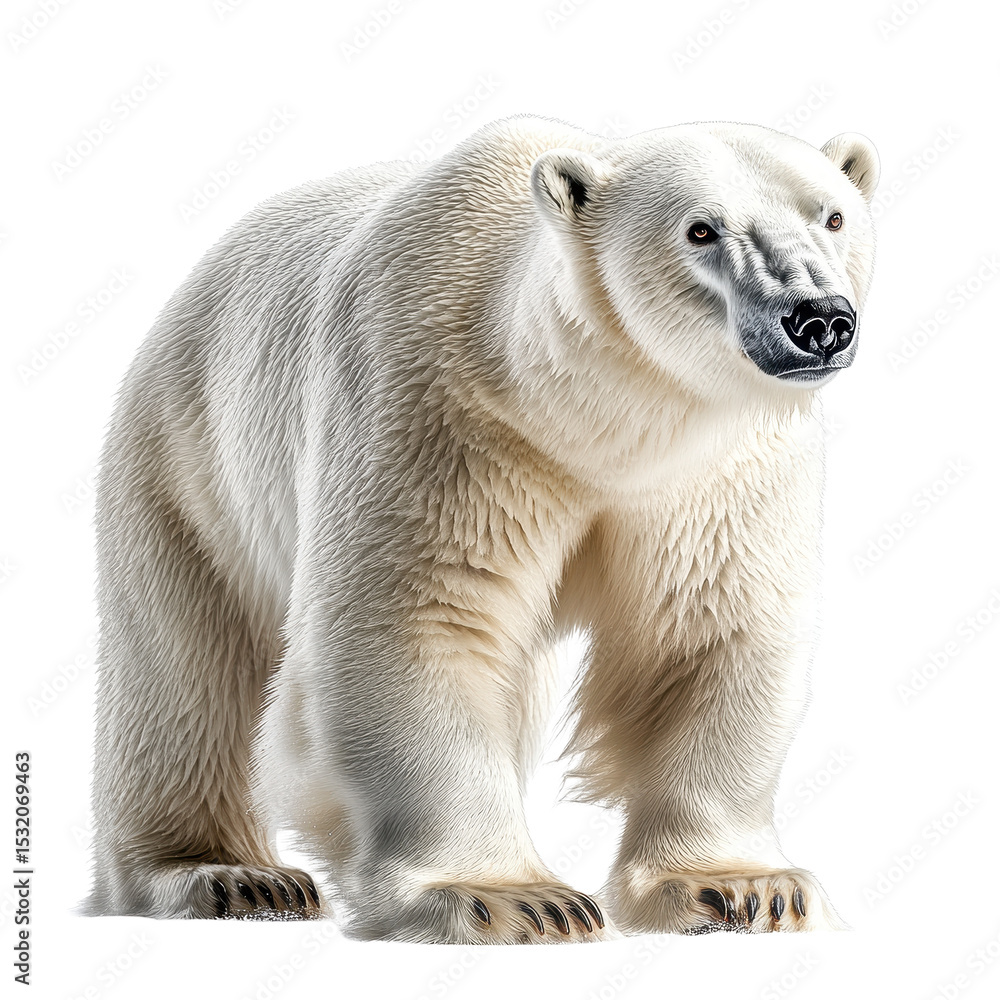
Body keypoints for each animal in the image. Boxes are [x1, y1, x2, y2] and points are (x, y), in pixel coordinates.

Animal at [84, 114, 878, 943]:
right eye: (701, 229)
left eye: (832, 215)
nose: (819, 319)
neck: (590, 417)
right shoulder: (442, 422)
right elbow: (416, 622)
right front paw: (511, 897)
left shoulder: (717, 473)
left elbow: (706, 634)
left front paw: (744, 888)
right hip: (187, 462)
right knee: (187, 669)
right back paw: (231, 875)